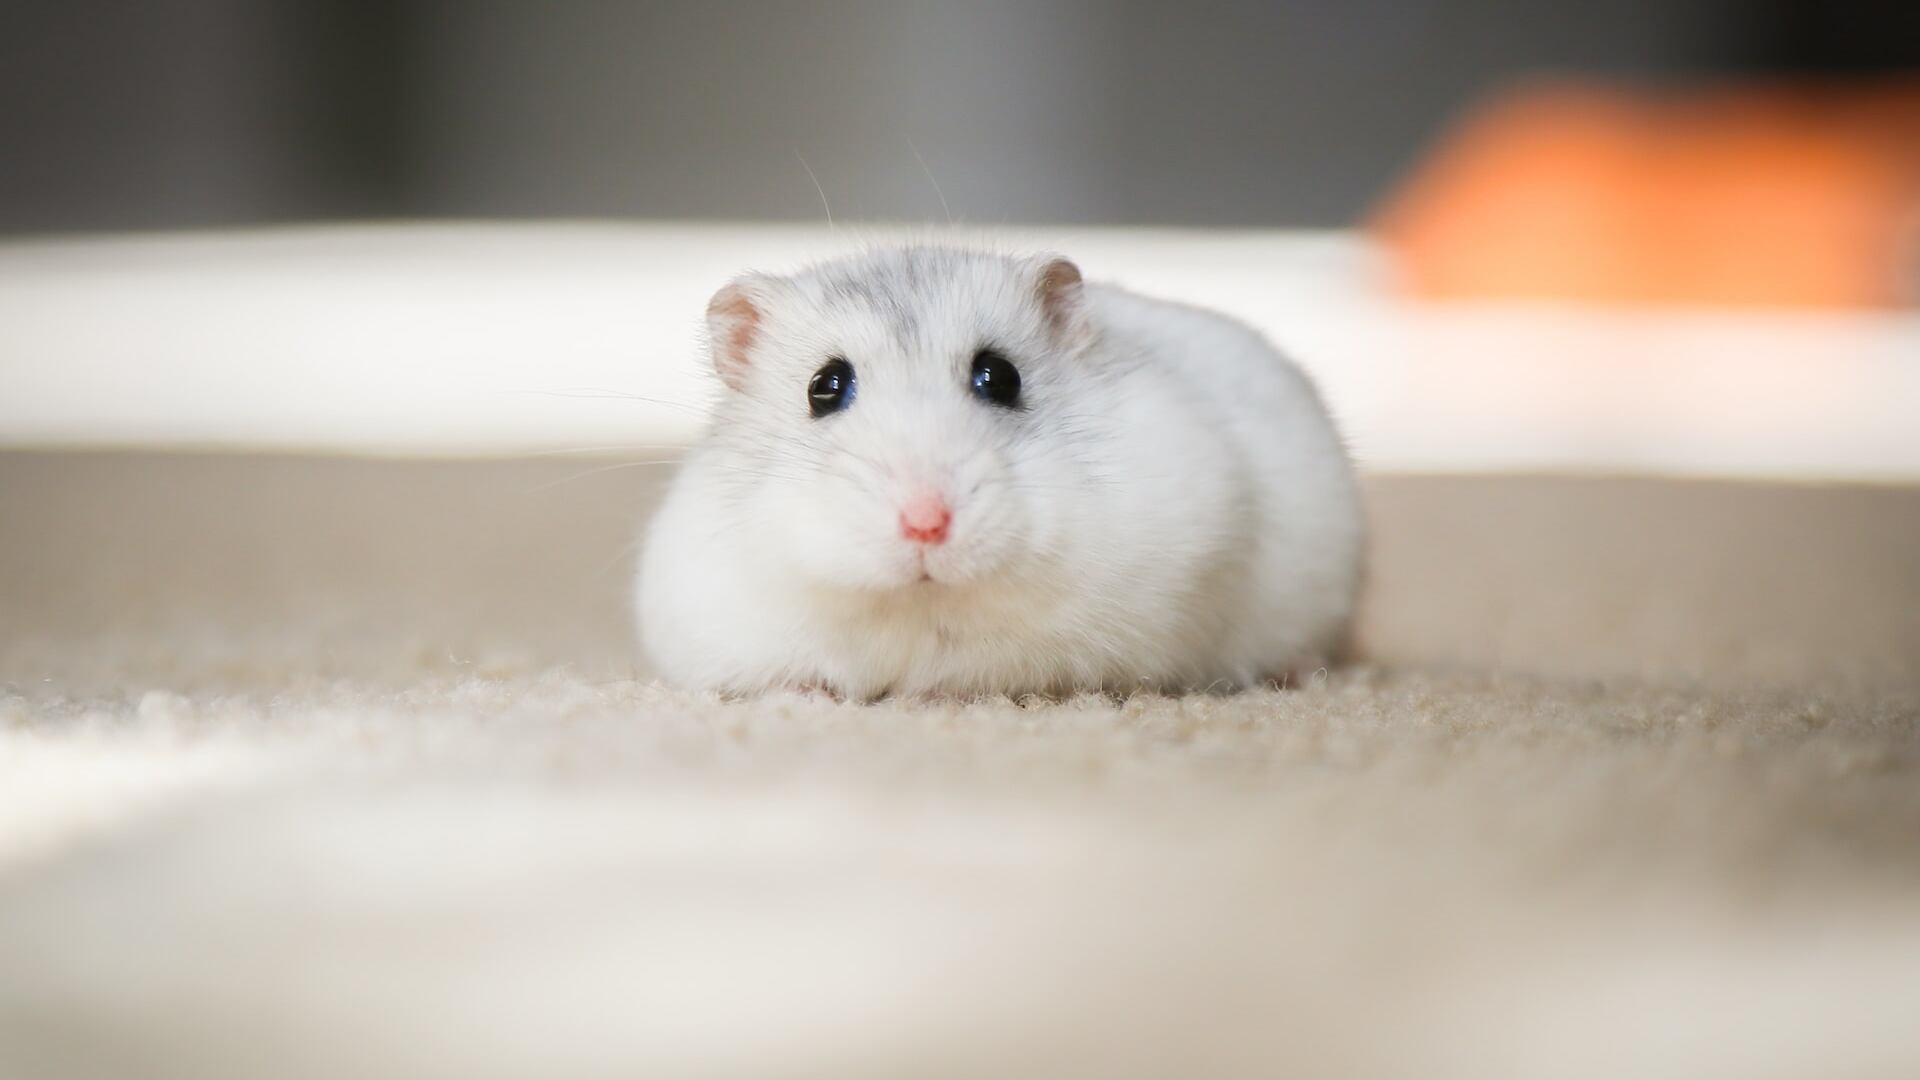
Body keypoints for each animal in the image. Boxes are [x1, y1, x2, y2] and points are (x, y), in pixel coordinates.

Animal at [635, 246, 1364, 699]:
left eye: (1000, 377)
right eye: (825, 387)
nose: (926, 525)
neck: (922, 602)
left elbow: (978, 665)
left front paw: (927, 695)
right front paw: (805, 698)